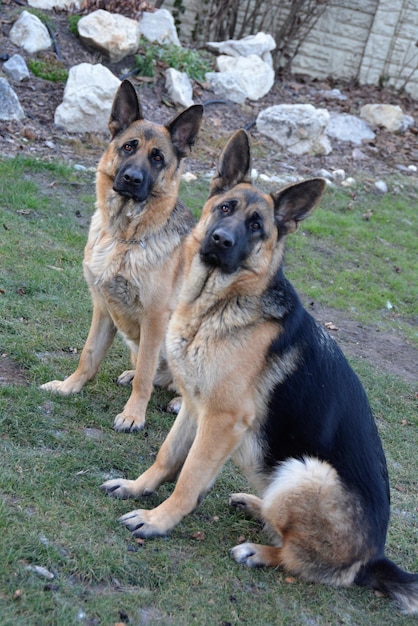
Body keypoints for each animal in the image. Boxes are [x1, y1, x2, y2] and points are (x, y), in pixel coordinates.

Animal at [40, 80, 202, 432]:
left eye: (158, 158)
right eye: (129, 147)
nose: (131, 179)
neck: (125, 239)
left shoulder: (155, 320)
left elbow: (145, 374)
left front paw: (133, 415)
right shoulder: (102, 308)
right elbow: (88, 354)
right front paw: (69, 386)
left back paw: (178, 401)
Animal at [101, 129, 418, 612]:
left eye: (257, 227)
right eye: (225, 208)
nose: (219, 241)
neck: (217, 306)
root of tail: (373, 560)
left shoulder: (223, 421)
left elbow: (188, 478)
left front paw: (158, 520)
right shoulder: (195, 406)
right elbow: (168, 456)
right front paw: (139, 488)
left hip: (302, 472)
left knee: (303, 560)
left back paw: (258, 550)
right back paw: (254, 504)